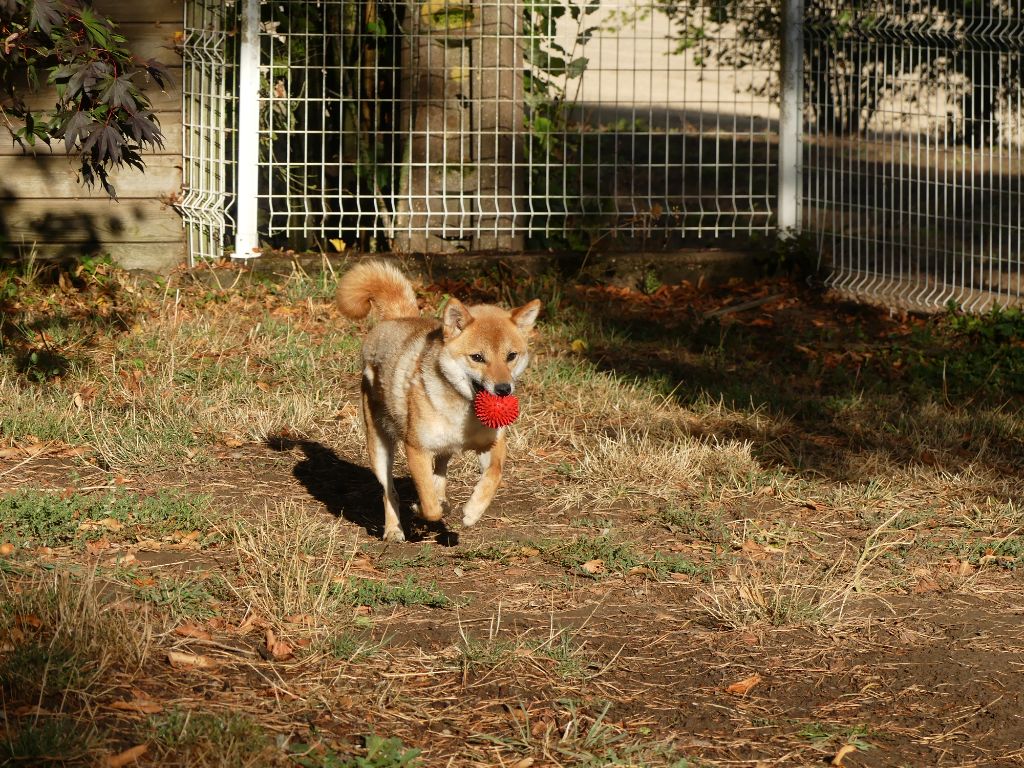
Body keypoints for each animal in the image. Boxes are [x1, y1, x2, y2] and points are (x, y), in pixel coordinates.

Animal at [337, 262, 544, 544]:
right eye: (477, 357)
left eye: (511, 356)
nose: (503, 389)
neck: (463, 412)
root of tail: (395, 319)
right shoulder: (416, 449)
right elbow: (429, 506)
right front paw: (420, 509)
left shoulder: (491, 444)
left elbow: (494, 475)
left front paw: (472, 511)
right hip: (379, 446)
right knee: (389, 491)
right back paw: (394, 529)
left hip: (443, 449)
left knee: (441, 471)